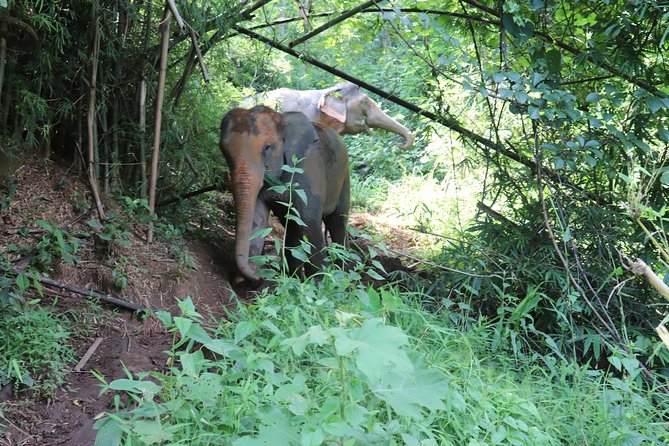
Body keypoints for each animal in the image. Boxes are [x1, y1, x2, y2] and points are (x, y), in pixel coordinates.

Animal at [219, 105, 350, 280]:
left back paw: (344, 275)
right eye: (223, 150)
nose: (260, 275)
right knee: (293, 228)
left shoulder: (308, 172)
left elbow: (310, 222)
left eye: (267, 147)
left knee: (337, 223)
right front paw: (242, 282)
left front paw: (319, 283)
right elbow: (258, 219)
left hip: (345, 179)